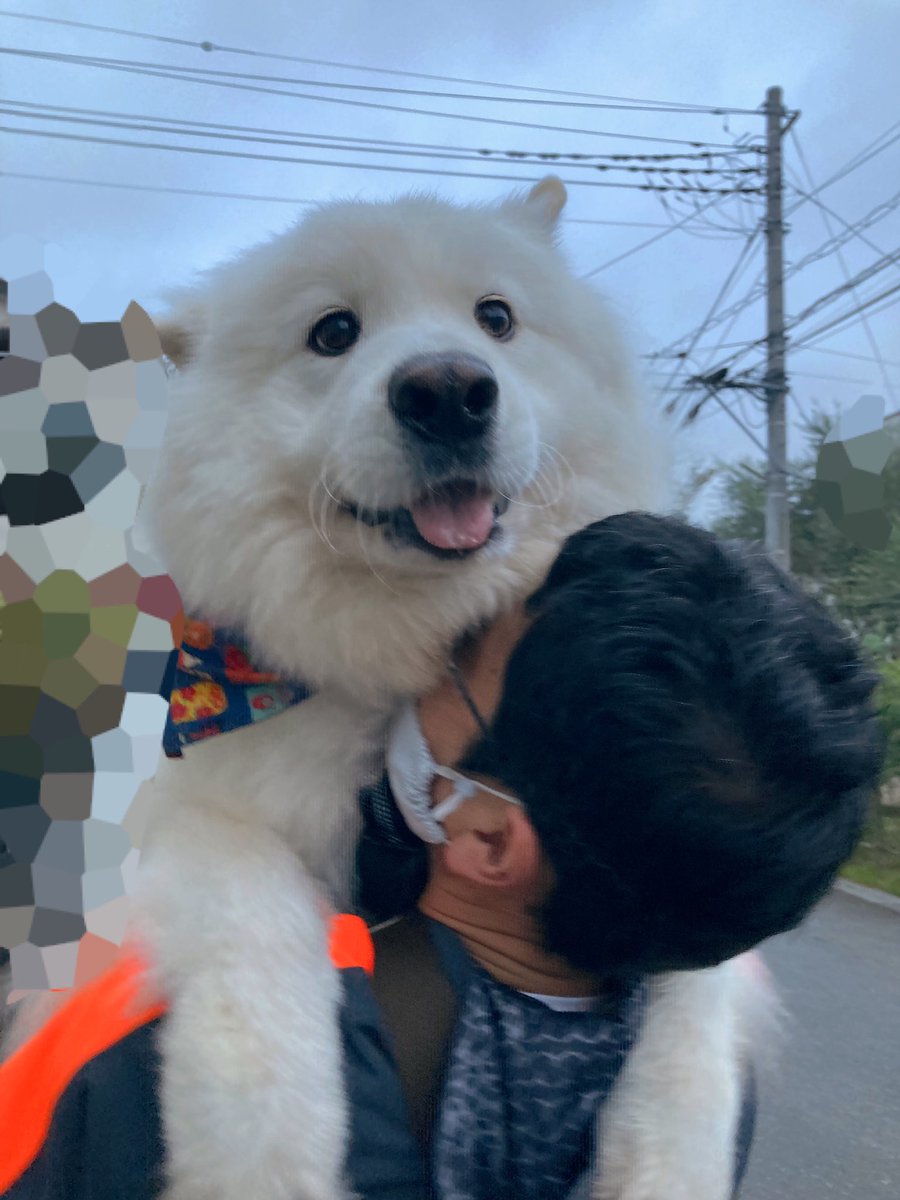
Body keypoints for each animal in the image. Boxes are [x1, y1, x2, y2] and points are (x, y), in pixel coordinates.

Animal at [111, 177, 755, 1200]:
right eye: (334, 332)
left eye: (496, 319)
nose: (448, 390)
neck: (409, 664)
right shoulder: (205, 816)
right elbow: (256, 950)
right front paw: (265, 1163)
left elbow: (698, 1008)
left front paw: (666, 1164)